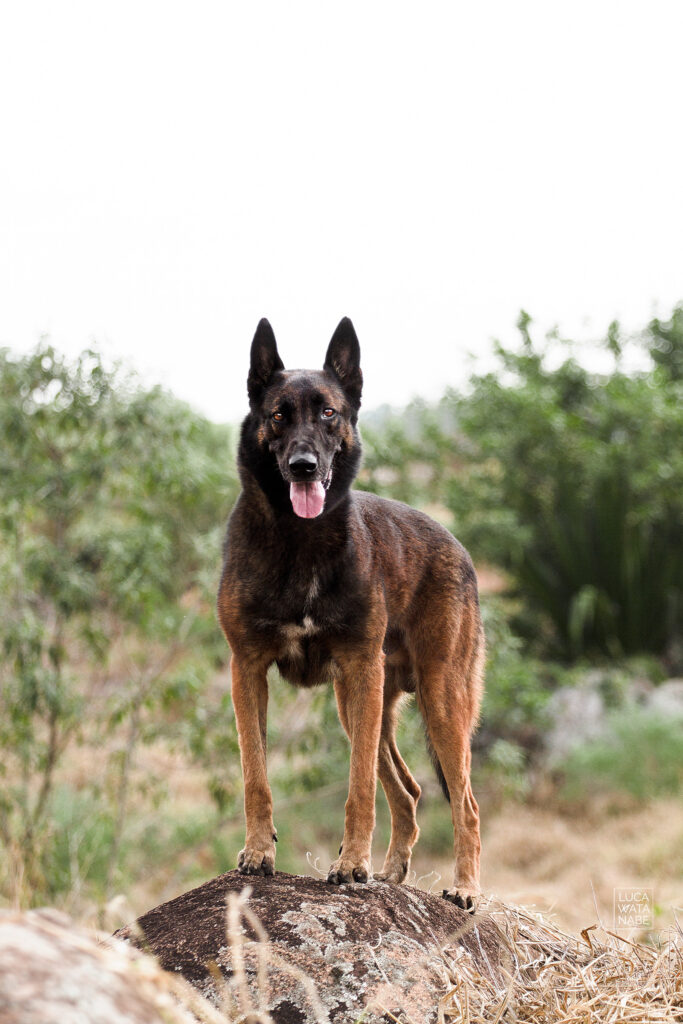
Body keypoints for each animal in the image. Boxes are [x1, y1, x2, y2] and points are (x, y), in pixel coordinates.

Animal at [216, 315, 483, 909]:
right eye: (278, 415)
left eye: (329, 413)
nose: (303, 466)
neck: (300, 541)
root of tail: (459, 547)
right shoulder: (247, 671)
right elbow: (255, 776)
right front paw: (258, 854)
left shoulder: (361, 669)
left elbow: (358, 787)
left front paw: (350, 865)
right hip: (359, 703)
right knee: (409, 791)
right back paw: (392, 873)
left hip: (436, 700)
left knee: (465, 805)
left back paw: (463, 889)